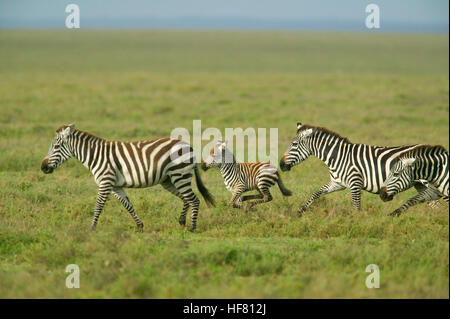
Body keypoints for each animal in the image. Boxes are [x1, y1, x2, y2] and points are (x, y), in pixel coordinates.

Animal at [40, 125, 214, 232]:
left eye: (56, 146)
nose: (43, 167)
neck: (95, 155)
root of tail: (188, 145)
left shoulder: (105, 182)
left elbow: (98, 206)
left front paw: (91, 228)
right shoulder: (115, 186)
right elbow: (128, 206)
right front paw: (140, 226)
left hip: (179, 175)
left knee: (194, 200)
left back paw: (192, 227)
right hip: (169, 180)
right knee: (186, 199)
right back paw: (182, 221)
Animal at [280, 124, 442, 216]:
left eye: (294, 144)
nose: (281, 165)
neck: (338, 156)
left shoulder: (355, 182)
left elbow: (356, 206)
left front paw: (356, 222)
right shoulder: (338, 183)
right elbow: (316, 193)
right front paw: (299, 212)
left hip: (428, 183)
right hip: (420, 184)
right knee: (434, 204)